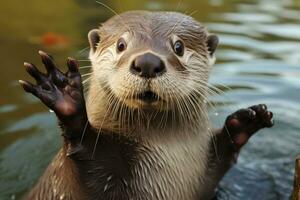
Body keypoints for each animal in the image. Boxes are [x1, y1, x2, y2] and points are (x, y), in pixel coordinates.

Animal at [18, 11, 274, 200]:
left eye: (179, 47)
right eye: (121, 44)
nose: (148, 61)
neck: (166, 150)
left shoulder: (203, 177)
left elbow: (220, 161)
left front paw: (244, 122)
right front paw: (66, 99)